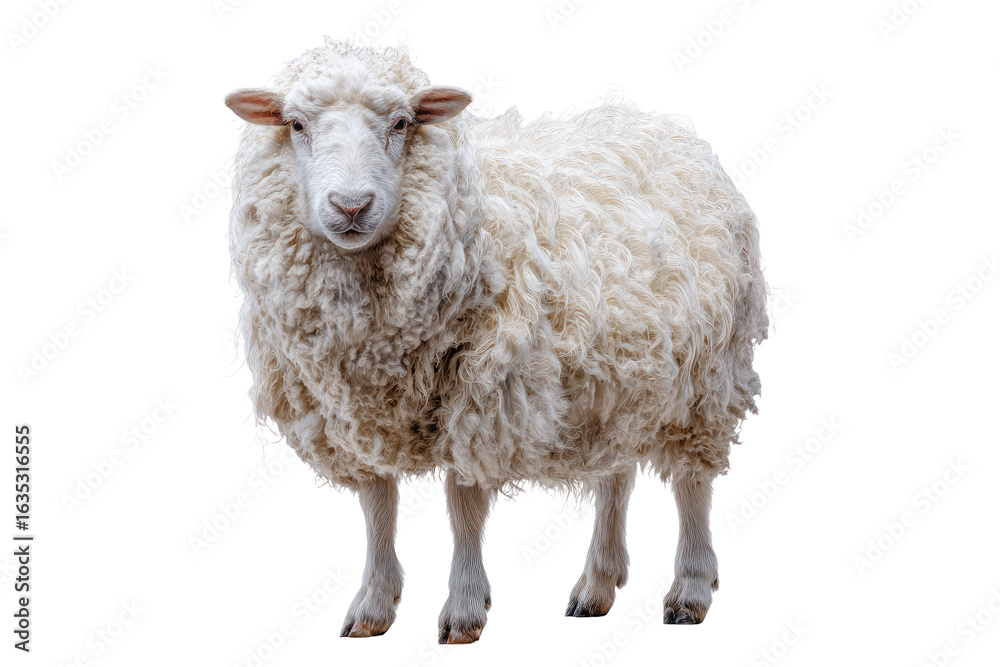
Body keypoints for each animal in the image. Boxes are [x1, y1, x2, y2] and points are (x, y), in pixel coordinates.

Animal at [225, 38, 768, 644]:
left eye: (402, 122)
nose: (350, 206)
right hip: (614, 378)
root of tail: (670, 131)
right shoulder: (357, 410)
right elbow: (377, 504)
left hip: (707, 377)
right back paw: (597, 586)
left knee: (693, 483)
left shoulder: (482, 393)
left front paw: (463, 610)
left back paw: (690, 590)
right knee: (616, 475)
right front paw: (373, 605)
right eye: (296, 124)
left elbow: (464, 505)